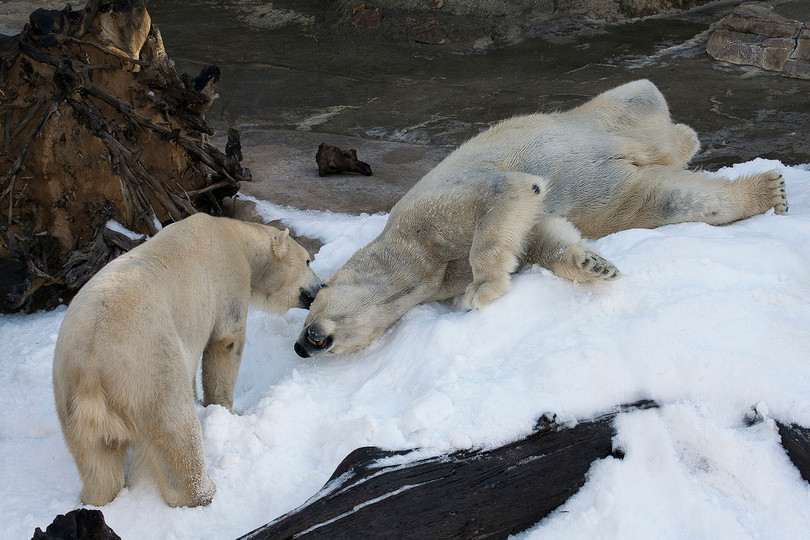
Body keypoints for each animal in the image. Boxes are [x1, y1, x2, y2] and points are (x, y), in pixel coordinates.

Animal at [53, 213, 322, 507]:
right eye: (308, 261)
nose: (321, 287)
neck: (236, 236)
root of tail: (91, 372)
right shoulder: (228, 278)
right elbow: (226, 342)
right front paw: (228, 411)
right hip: (149, 365)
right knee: (175, 427)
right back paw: (204, 491)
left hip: (68, 397)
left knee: (96, 460)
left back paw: (97, 497)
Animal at [294, 79, 787, 358]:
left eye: (308, 316)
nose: (301, 347)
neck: (418, 262)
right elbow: (539, 235)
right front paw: (592, 264)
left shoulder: (428, 215)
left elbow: (505, 193)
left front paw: (479, 292)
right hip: (619, 188)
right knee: (669, 197)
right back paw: (763, 191)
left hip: (609, 112)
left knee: (649, 111)